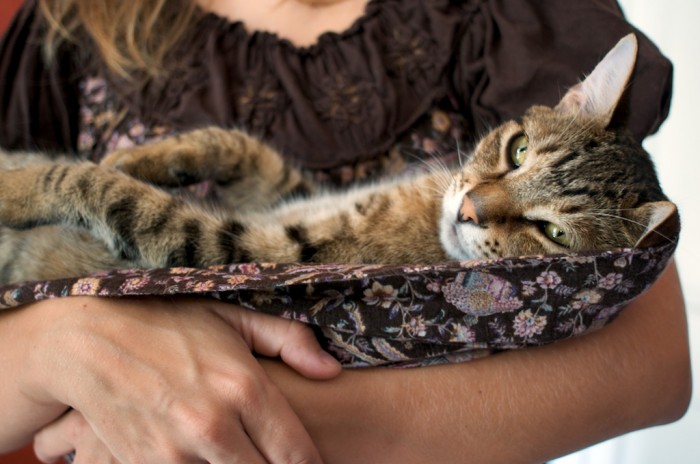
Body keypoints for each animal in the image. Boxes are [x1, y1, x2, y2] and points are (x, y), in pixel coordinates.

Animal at [0, 33, 680, 282]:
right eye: (517, 151)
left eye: (553, 234)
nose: (469, 209)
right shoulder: (285, 190)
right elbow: (233, 144)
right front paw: (143, 154)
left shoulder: (241, 244)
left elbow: (98, 187)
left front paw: (18, 186)